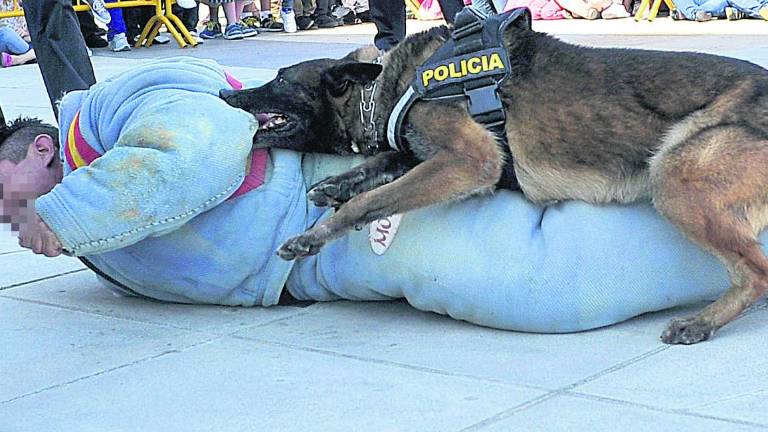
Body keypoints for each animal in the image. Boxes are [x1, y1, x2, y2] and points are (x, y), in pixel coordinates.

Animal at [220, 9, 768, 344]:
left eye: (279, 80)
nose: (227, 95)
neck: (384, 87)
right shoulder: (425, 158)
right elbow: (382, 167)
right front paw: (334, 185)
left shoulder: (470, 160)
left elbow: (375, 198)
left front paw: (315, 234)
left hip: (673, 175)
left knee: (757, 273)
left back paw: (701, 322)